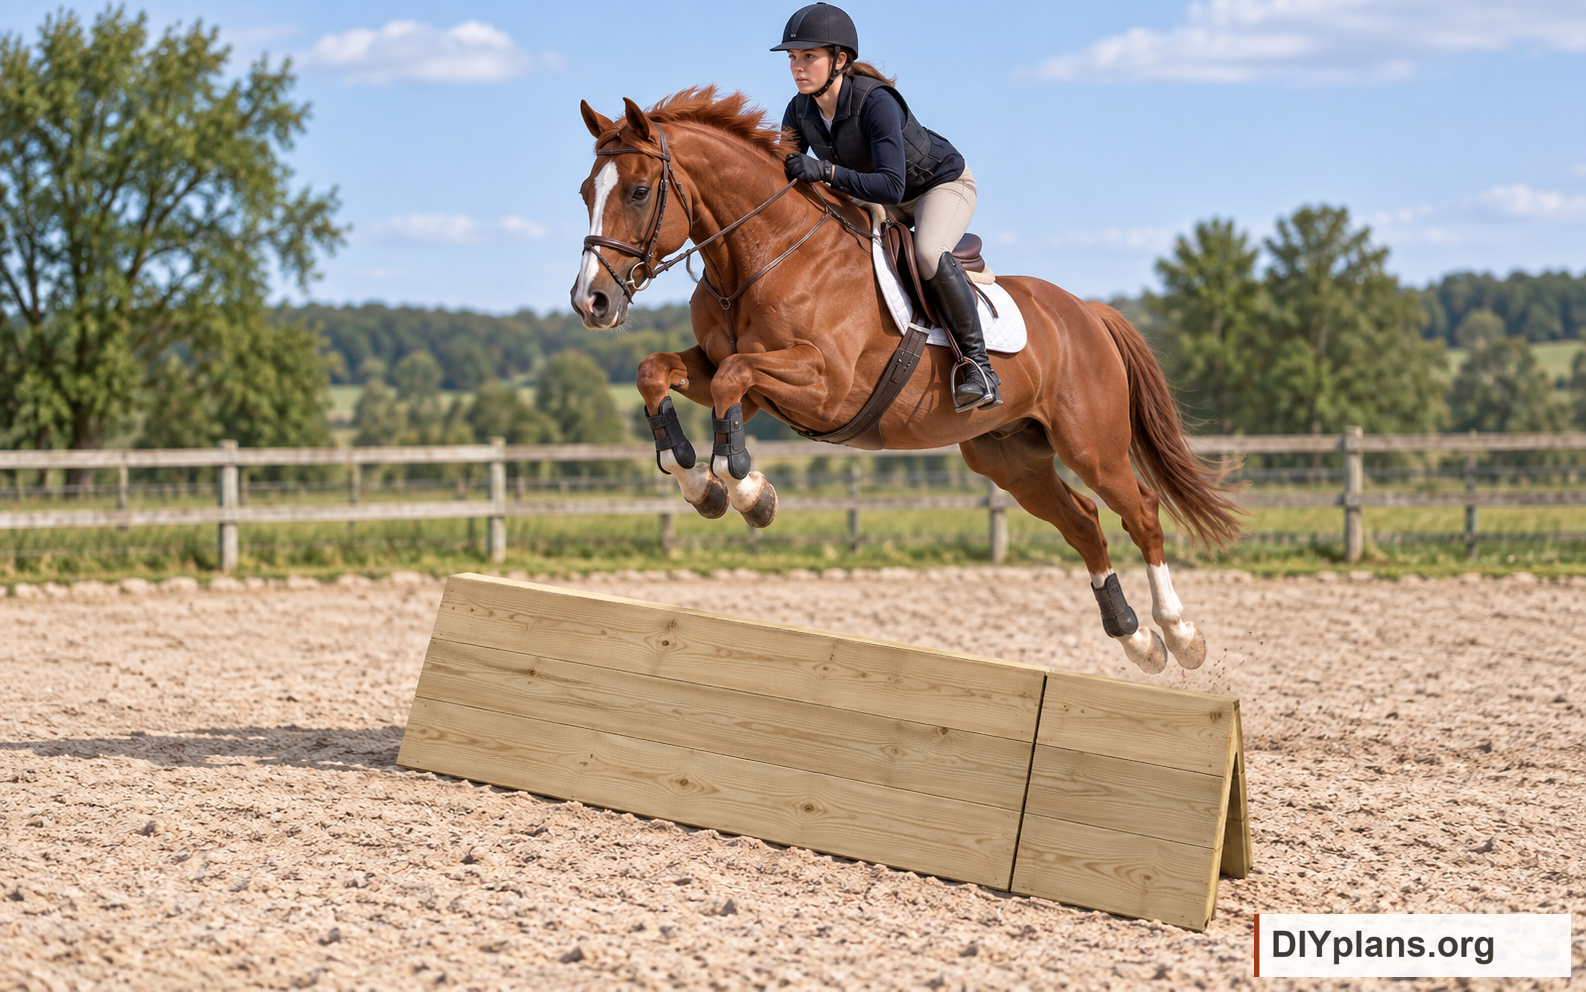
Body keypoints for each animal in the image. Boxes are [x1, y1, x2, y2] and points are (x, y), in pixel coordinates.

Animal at [569, 87, 1244, 673]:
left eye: (638, 191)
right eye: (583, 192)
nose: (590, 302)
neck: (763, 253)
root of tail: (1087, 312)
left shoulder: (823, 383)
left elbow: (734, 380)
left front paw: (748, 491)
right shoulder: (739, 381)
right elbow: (656, 372)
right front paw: (699, 484)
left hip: (1092, 445)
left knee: (1142, 512)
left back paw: (1180, 634)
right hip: (1010, 457)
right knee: (1082, 521)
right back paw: (1136, 640)